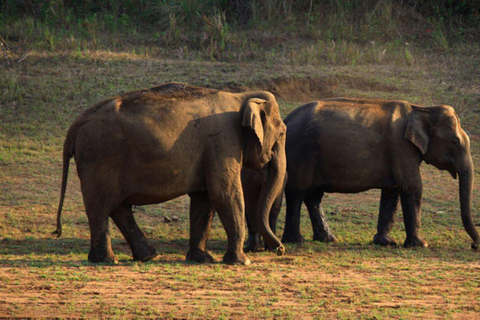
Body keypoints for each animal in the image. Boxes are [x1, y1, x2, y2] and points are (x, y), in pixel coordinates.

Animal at [53, 83, 284, 264]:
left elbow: (203, 199)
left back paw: (147, 256)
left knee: (118, 207)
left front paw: (201, 259)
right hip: (100, 158)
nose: (280, 249)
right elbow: (224, 194)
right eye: (282, 133)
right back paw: (108, 260)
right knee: (101, 206)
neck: (241, 96)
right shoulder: (223, 142)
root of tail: (76, 124)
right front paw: (241, 262)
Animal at [282, 98, 480, 250]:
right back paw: (296, 240)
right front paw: (421, 244)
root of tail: (287, 118)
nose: (474, 245)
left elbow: (392, 191)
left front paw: (386, 242)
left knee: (313, 196)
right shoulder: (401, 147)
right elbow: (413, 187)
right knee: (297, 192)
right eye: (455, 142)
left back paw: (327, 239)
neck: (421, 109)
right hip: (301, 152)